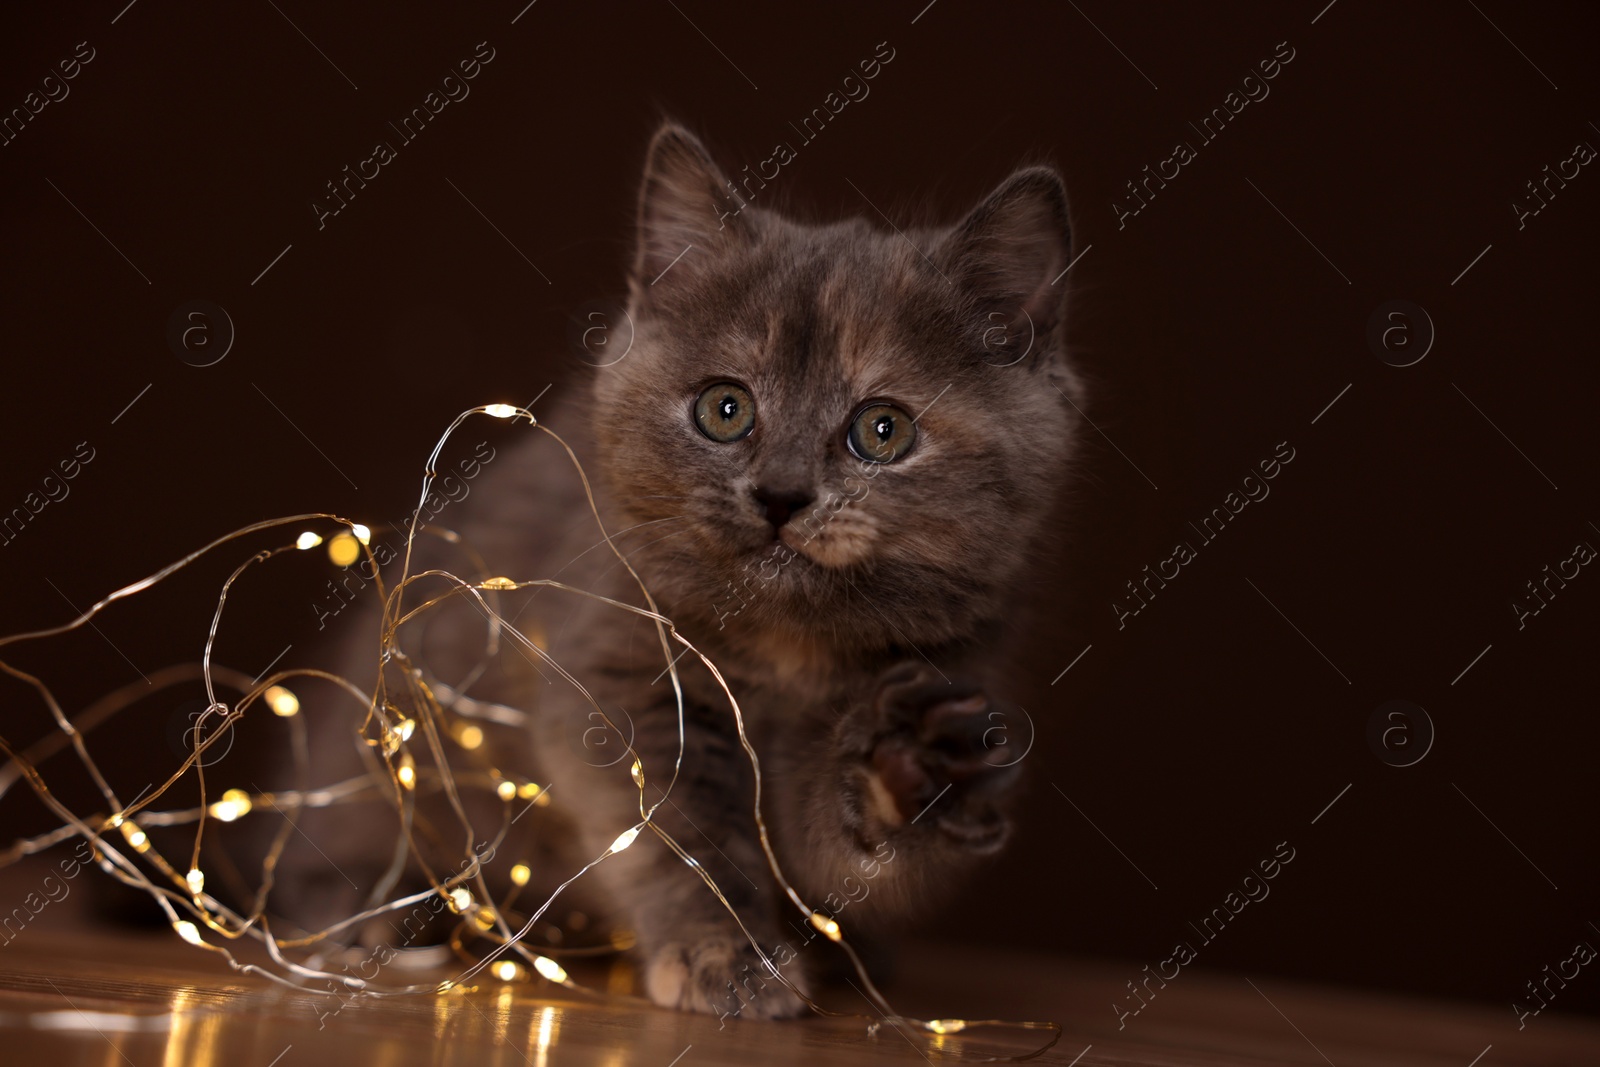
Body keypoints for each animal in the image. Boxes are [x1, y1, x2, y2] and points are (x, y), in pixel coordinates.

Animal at [275, 123, 1081, 1017]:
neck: (786, 648)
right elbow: (679, 836)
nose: (781, 495)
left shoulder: (956, 655)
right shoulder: (617, 674)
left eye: (883, 429)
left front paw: (905, 766)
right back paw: (364, 915)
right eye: (724, 409)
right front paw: (722, 956)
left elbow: (825, 842)